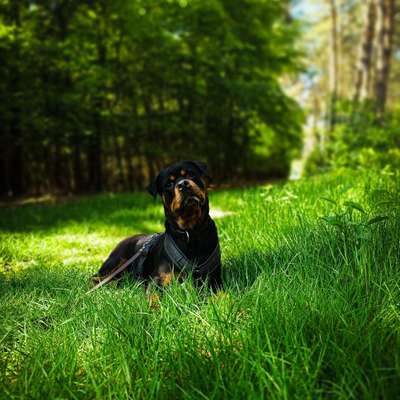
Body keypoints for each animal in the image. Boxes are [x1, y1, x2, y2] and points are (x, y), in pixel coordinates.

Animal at [94, 161, 223, 292]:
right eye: (169, 184)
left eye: (191, 174)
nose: (183, 184)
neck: (191, 232)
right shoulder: (157, 281)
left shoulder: (214, 280)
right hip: (116, 262)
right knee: (96, 278)